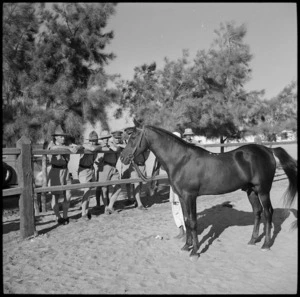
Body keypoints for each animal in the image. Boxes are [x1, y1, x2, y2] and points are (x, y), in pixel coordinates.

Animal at [120, 124, 298, 256]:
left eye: (133, 138)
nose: (122, 157)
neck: (181, 160)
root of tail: (268, 150)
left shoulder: (190, 196)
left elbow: (192, 222)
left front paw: (195, 252)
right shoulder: (183, 198)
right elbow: (186, 220)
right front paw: (186, 246)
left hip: (263, 190)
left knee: (268, 213)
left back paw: (266, 244)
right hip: (251, 191)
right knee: (257, 212)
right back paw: (253, 240)